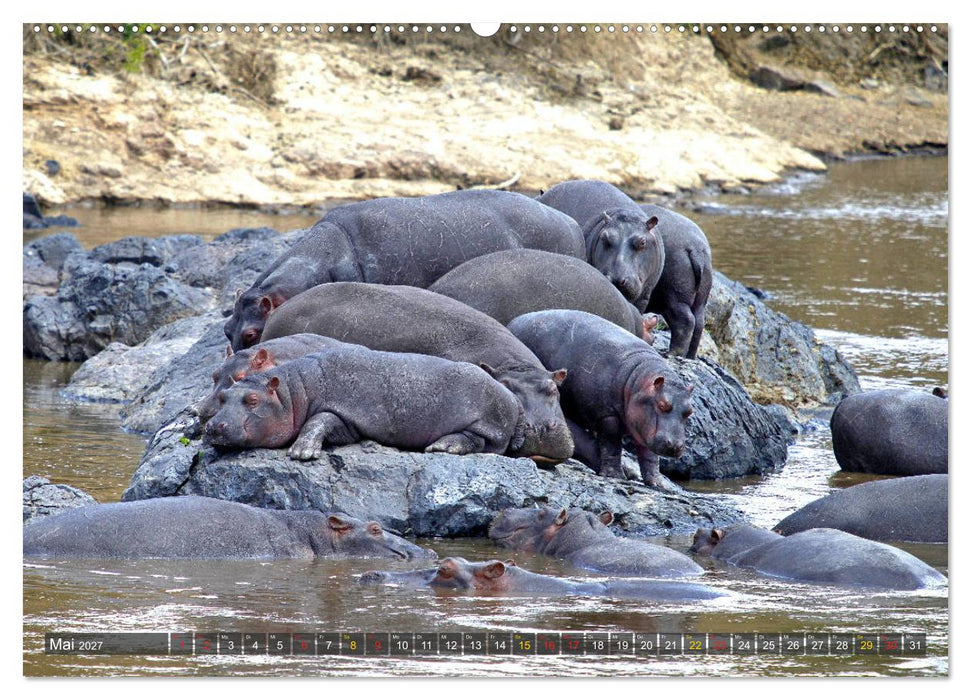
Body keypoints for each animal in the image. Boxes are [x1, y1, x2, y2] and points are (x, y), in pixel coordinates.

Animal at [205, 346, 525, 459]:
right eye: (222, 396)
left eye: (252, 399)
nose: (213, 426)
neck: (293, 392)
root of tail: (511, 396)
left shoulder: (345, 414)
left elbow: (318, 420)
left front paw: (302, 453)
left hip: (487, 422)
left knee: (478, 441)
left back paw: (442, 446)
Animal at [507, 310, 693, 487]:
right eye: (662, 405)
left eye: (689, 411)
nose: (675, 445)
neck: (638, 381)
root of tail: (515, 320)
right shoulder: (607, 415)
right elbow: (612, 445)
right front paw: (615, 475)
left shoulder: (645, 429)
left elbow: (650, 456)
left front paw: (660, 484)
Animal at [640, 204, 713, 359]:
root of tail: (696, 248)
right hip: (699, 300)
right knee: (698, 324)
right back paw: (689, 356)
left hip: (674, 298)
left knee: (685, 321)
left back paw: (671, 354)